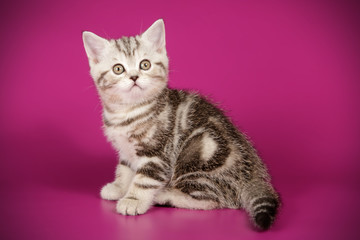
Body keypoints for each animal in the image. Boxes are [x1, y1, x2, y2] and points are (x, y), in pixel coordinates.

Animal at [82, 19, 282, 231]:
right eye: (118, 69)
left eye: (145, 65)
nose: (134, 77)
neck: (127, 111)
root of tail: (254, 175)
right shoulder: (126, 150)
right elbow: (125, 169)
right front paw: (119, 187)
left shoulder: (158, 154)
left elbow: (144, 180)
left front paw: (133, 200)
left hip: (197, 158)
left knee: (215, 199)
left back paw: (165, 195)